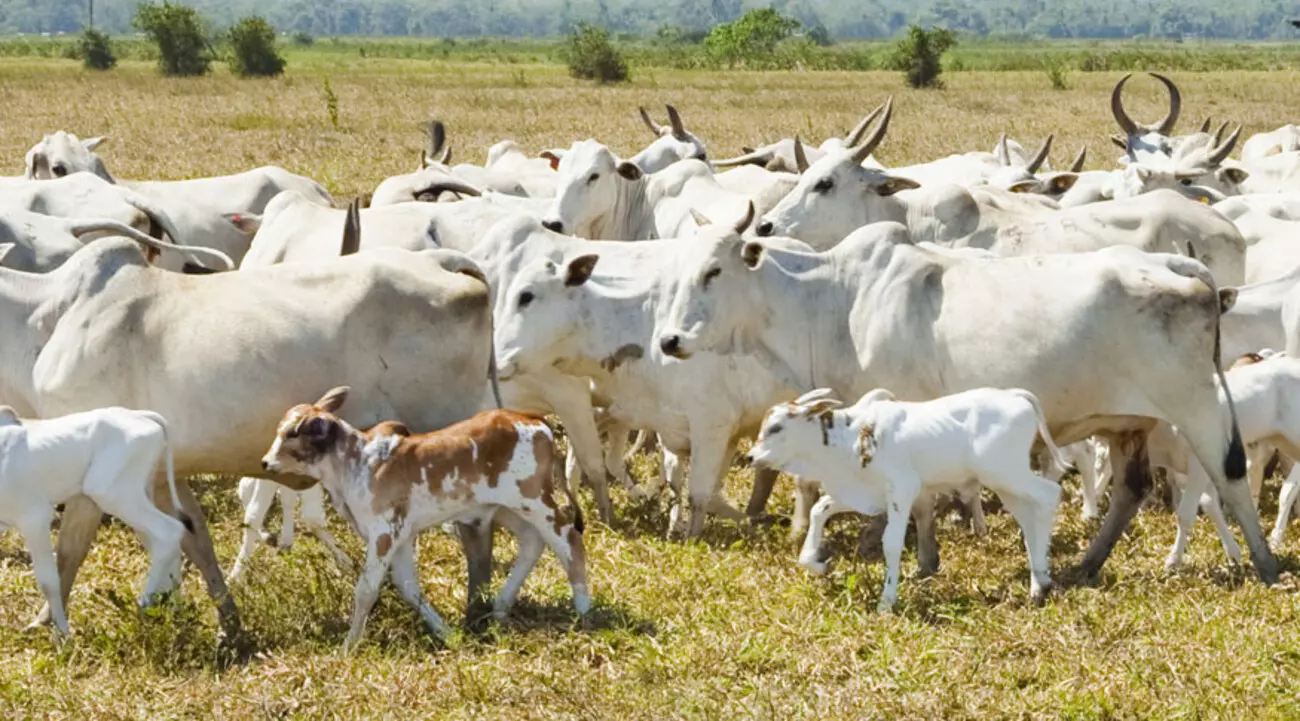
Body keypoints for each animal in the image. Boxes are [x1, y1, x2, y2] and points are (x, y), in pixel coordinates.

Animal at [0, 405, 192, 636]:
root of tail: (142, 415)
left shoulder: (35, 518)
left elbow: (49, 581)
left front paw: (63, 635)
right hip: (137, 495)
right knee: (163, 542)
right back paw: (174, 609)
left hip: (111, 493)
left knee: (170, 530)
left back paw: (144, 602)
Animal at [261, 387, 587, 652]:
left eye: (292, 433)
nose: (265, 462)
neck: (356, 464)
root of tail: (534, 420)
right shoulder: (403, 537)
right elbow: (408, 587)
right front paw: (448, 634)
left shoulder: (385, 533)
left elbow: (366, 589)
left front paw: (347, 648)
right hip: (507, 508)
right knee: (533, 542)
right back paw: (500, 607)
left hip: (534, 501)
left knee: (568, 539)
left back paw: (584, 609)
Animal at [743, 389, 1066, 610]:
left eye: (776, 427)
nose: (750, 456)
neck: (853, 437)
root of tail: (1015, 395)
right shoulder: (862, 492)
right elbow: (819, 510)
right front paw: (817, 564)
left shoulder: (902, 490)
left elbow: (891, 542)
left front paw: (887, 600)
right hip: (1006, 484)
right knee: (1029, 518)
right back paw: (1041, 579)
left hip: (1006, 474)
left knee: (1048, 495)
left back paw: (1039, 583)